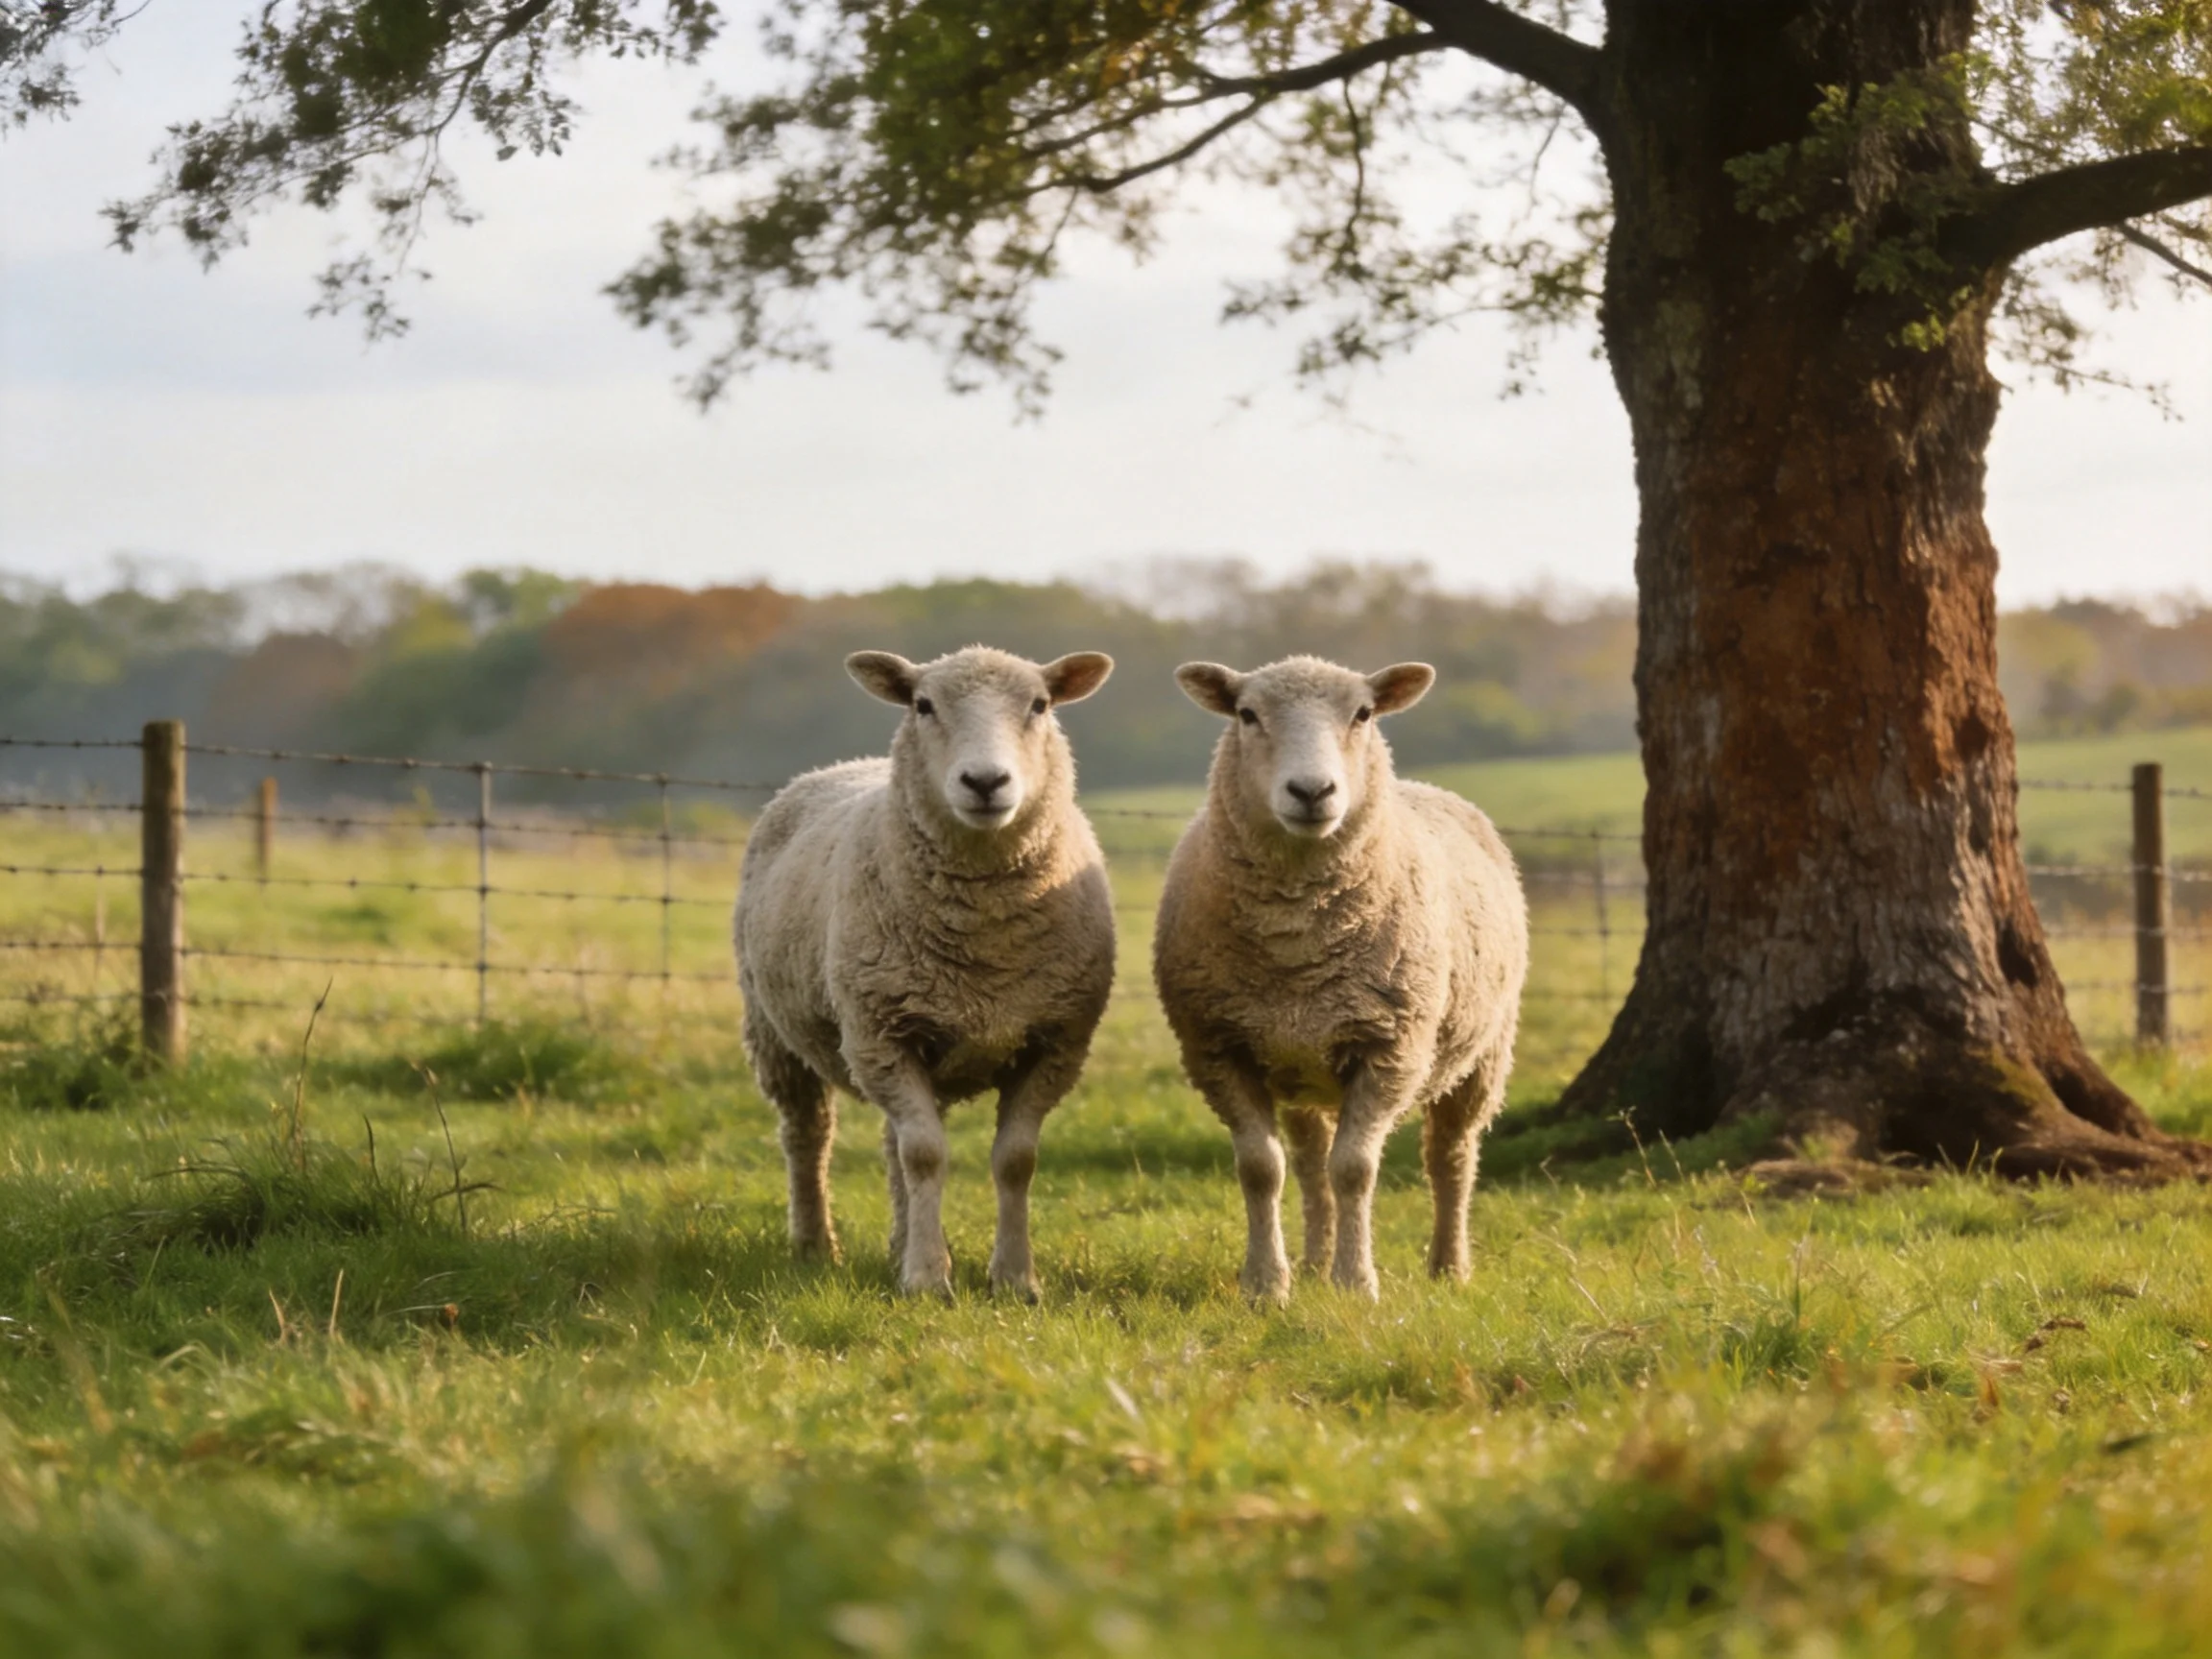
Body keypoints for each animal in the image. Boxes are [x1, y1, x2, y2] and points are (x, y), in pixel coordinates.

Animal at [734, 645, 1117, 1298]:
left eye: (1040, 704)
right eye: (923, 705)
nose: (985, 782)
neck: (986, 948)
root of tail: (840, 766)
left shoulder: (1053, 1043)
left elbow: (1015, 1160)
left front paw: (1014, 1278)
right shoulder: (880, 1036)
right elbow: (926, 1157)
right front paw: (927, 1280)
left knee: (891, 1145)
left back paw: (898, 1241)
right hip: (775, 1033)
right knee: (808, 1136)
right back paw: (815, 1245)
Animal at [1153, 656, 1528, 1302]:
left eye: (1364, 714)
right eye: (1247, 714)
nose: (1312, 792)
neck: (1295, 943)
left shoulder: (1390, 1048)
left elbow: (1355, 1169)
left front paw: (1355, 1283)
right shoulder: (1219, 1048)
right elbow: (1262, 1169)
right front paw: (1266, 1285)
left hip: (1484, 1053)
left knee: (1451, 1157)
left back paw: (1449, 1266)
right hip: (1300, 1063)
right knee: (1309, 1163)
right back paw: (1311, 1262)